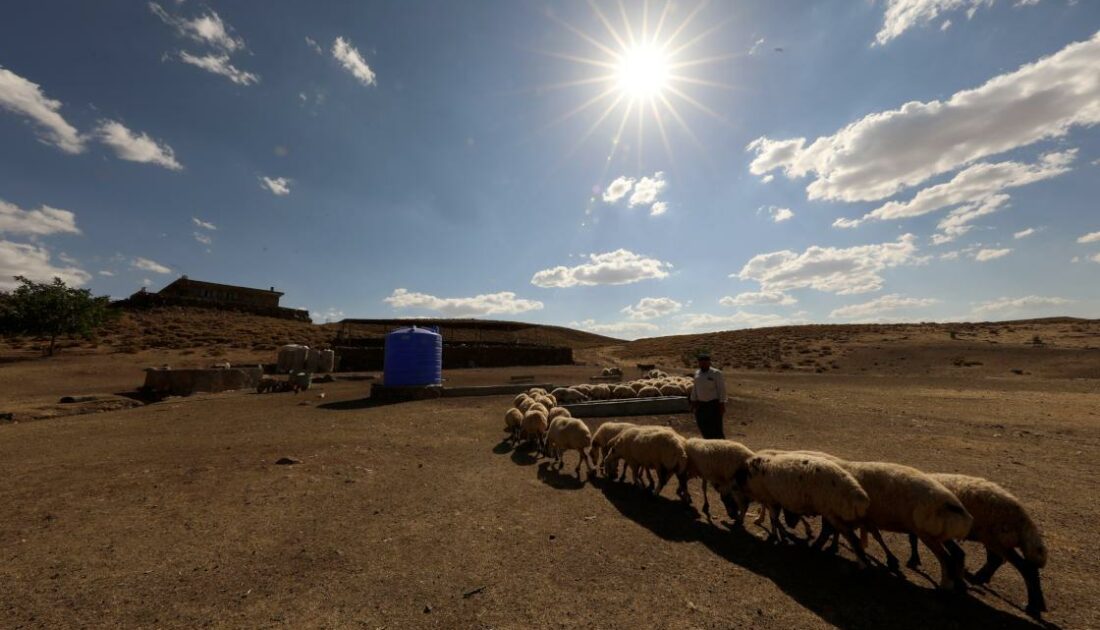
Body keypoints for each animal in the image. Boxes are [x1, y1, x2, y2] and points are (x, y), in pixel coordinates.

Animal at [734, 452, 871, 562]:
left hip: (830, 510)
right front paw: (779, 534)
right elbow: (774, 519)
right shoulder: (773, 500)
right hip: (833, 513)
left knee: (843, 535)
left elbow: (774, 518)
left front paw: (780, 535)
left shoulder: (770, 499)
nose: (736, 519)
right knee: (838, 533)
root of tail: (859, 496)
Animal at [831, 461, 972, 589]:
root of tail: (955, 506)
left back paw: (944, 586)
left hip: (926, 534)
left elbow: (842, 531)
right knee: (958, 553)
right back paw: (958, 583)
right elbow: (875, 535)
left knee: (946, 559)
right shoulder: (865, 519)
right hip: (938, 534)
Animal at [906, 470, 1051, 615]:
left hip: (996, 539)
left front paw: (913, 560)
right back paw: (980, 577)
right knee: (997, 560)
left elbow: (912, 538)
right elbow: (913, 537)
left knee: (1025, 568)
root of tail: (1023, 518)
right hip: (990, 537)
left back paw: (1033, 605)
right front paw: (914, 560)